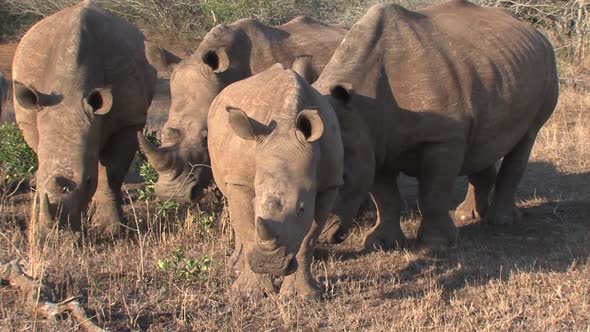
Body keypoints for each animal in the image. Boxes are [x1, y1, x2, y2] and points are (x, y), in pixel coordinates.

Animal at [210, 64, 344, 298]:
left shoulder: (329, 185)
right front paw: (247, 293)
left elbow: (308, 239)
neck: (285, 127)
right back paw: (236, 268)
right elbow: (247, 228)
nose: (269, 264)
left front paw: (302, 295)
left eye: (301, 209)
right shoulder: (240, 181)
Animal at [308, 0, 560, 249]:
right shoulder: (373, 138)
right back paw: (467, 216)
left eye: (343, 178)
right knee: (485, 142)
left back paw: (502, 221)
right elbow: (385, 196)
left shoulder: (443, 138)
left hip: (548, 63)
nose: (322, 239)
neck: (360, 103)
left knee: (526, 138)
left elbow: (433, 192)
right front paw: (380, 243)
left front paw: (435, 244)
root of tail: (536, 32)